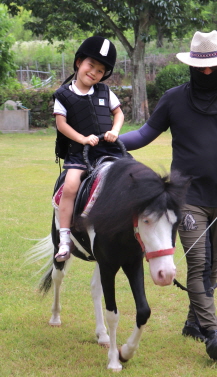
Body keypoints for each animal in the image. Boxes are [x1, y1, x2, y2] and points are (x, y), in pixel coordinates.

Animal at [28, 144, 188, 370]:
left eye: (177, 222)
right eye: (146, 220)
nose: (165, 274)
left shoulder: (131, 263)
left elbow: (143, 310)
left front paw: (126, 352)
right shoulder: (109, 265)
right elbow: (113, 314)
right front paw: (114, 361)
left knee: (95, 289)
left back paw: (102, 335)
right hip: (59, 247)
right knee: (58, 278)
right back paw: (55, 318)